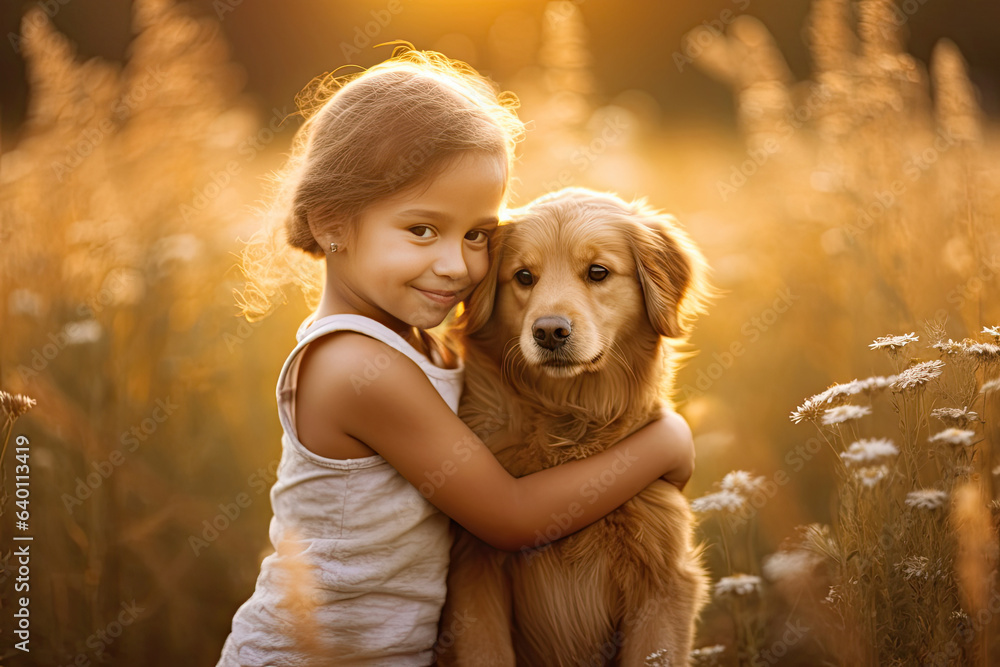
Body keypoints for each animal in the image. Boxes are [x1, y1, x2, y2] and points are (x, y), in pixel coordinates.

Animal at [438, 188, 712, 667]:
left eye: (598, 272)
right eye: (524, 276)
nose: (549, 331)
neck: (570, 418)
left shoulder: (664, 583)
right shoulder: (474, 574)